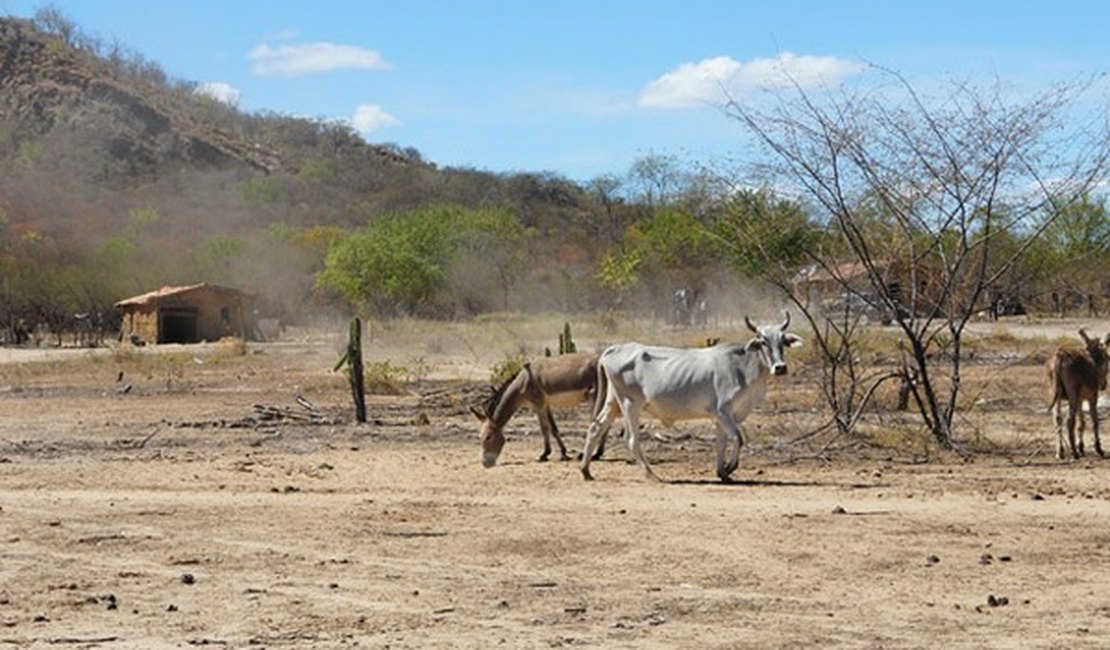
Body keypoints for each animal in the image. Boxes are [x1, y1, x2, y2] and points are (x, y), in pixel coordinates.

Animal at [577, 310, 803, 479]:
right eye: (763, 341)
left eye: (783, 341)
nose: (780, 368)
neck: (742, 366)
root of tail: (615, 348)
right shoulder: (723, 412)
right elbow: (738, 438)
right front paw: (730, 468)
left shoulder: (720, 417)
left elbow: (721, 443)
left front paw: (722, 472)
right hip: (630, 404)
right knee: (631, 439)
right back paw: (651, 473)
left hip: (613, 403)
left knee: (595, 428)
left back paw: (586, 470)